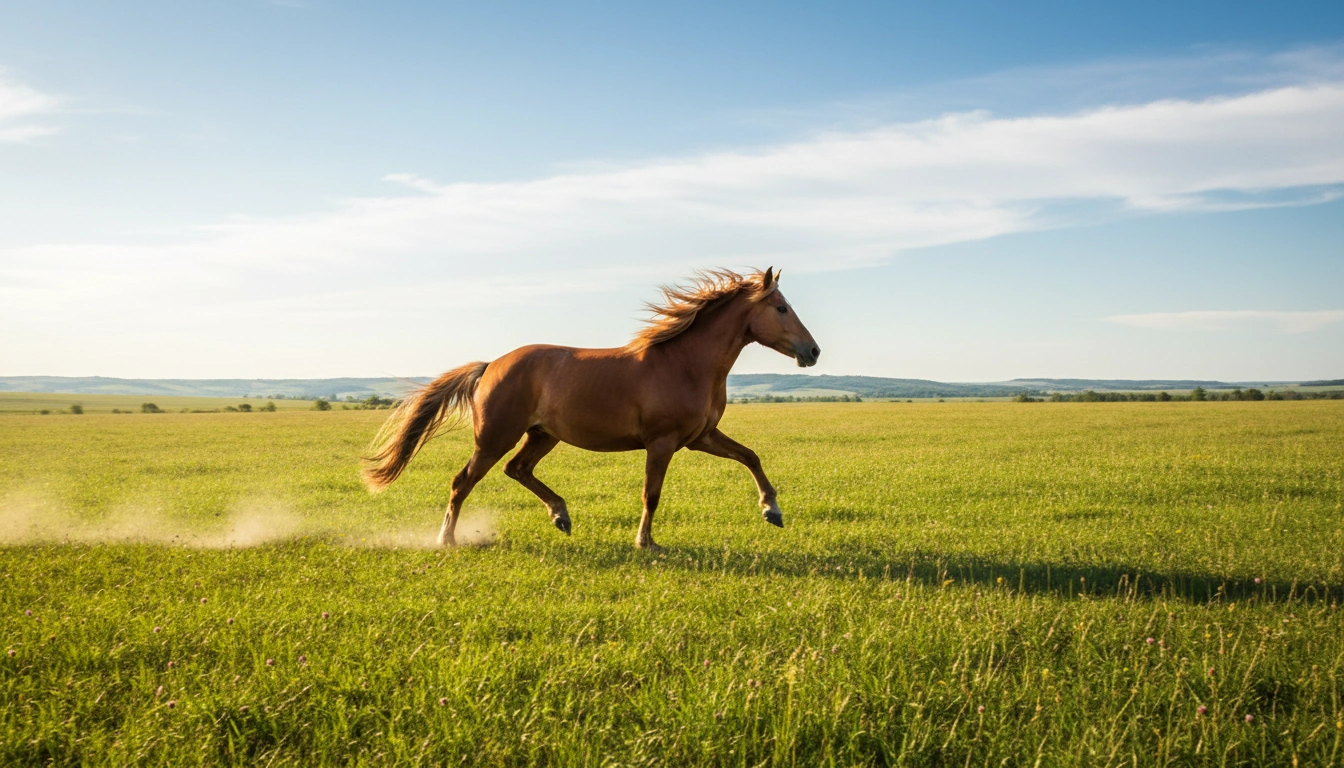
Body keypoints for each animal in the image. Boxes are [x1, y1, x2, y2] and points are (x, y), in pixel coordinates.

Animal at [362, 267, 820, 549]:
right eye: (781, 308)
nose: (812, 351)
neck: (685, 363)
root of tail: (490, 365)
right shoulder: (662, 442)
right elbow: (652, 492)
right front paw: (645, 542)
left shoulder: (699, 437)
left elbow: (750, 456)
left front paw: (772, 510)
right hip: (495, 438)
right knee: (463, 482)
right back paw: (447, 540)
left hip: (542, 436)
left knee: (517, 469)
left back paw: (561, 515)